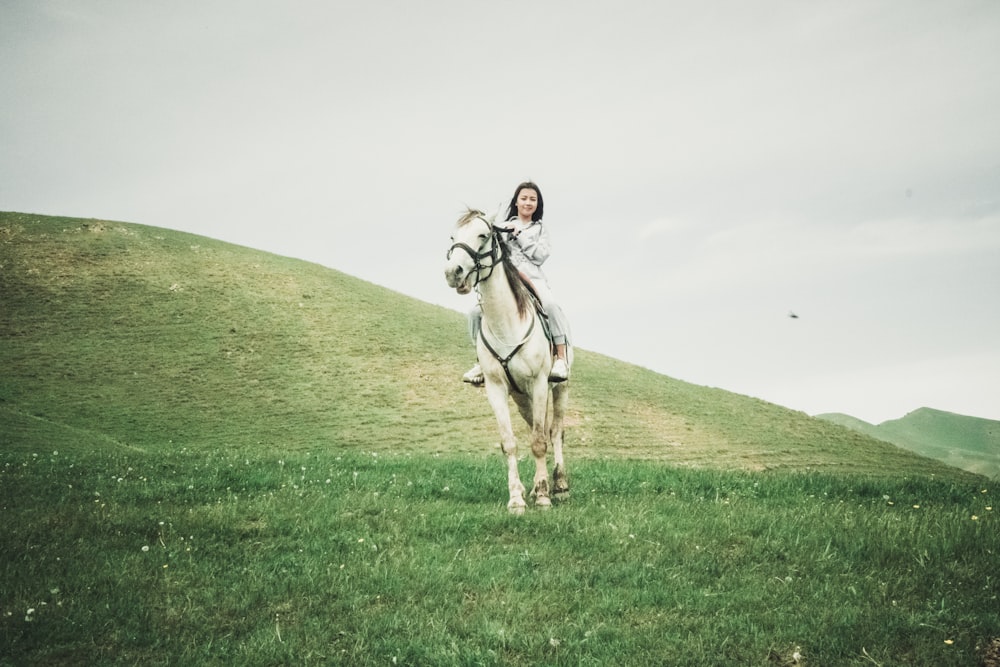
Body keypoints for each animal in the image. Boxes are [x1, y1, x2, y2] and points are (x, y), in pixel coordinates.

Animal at [446, 209, 572, 516]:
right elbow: (510, 443)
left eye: (483, 235)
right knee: (539, 430)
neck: (506, 322)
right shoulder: (496, 389)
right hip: (522, 398)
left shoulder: (539, 384)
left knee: (556, 433)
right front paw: (517, 498)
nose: (453, 272)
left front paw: (543, 497)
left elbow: (539, 442)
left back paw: (560, 486)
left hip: (558, 390)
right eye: (454, 237)